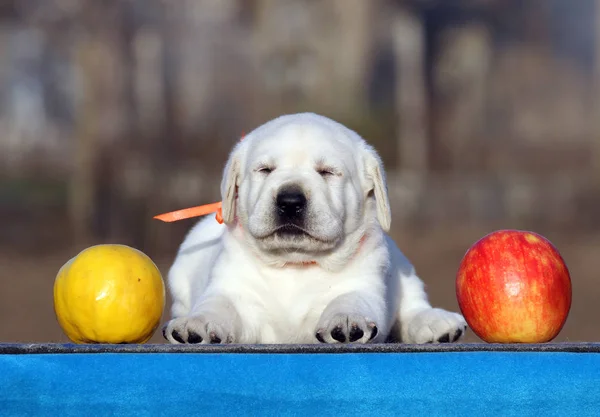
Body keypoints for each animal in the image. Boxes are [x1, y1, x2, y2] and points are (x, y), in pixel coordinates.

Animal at [164, 112, 468, 342]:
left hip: (404, 271)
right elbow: (218, 305)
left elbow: (351, 298)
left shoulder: (364, 282)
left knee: (413, 307)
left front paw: (347, 319)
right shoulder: (233, 287)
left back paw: (436, 323)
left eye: (327, 172)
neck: (295, 263)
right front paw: (198, 323)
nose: (289, 201)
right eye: (265, 170)